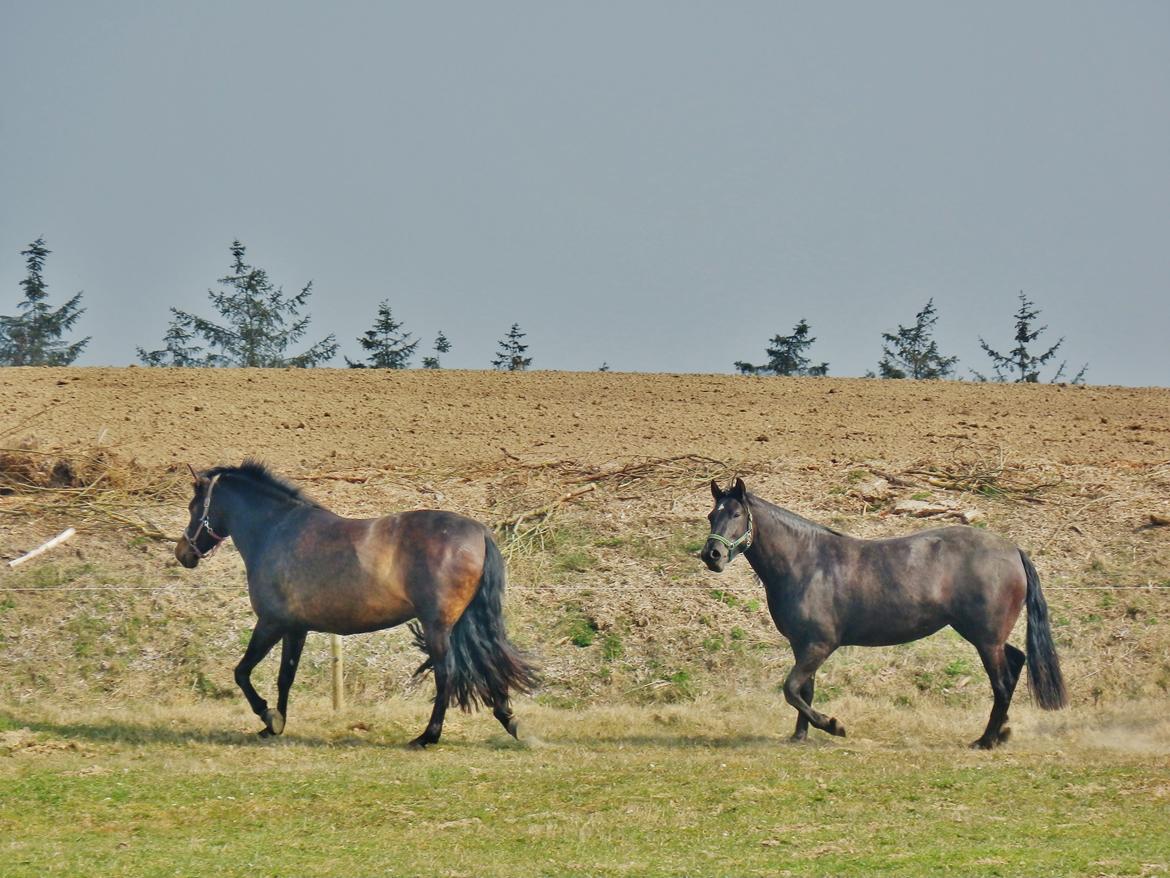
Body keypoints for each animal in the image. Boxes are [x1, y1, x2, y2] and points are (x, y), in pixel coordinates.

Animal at [171, 461, 535, 749]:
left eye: (193, 507)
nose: (183, 553)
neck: (275, 530)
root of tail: (479, 531)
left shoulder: (271, 623)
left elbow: (242, 672)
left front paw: (267, 715)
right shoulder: (295, 629)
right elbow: (285, 677)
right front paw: (275, 725)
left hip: (437, 627)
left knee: (447, 673)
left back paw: (427, 737)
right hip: (461, 623)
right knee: (487, 662)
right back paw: (511, 722)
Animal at [697, 482, 1067, 749]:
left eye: (736, 514)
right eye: (712, 515)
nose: (711, 555)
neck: (806, 563)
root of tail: (1013, 550)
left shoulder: (819, 645)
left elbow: (791, 689)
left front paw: (833, 725)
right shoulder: (804, 646)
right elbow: (804, 691)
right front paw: (800, 735)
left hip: (986, 640)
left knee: (1002, 684)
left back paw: (986, 740)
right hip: (991, 639)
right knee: (1016, 663)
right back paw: (1001, 732)